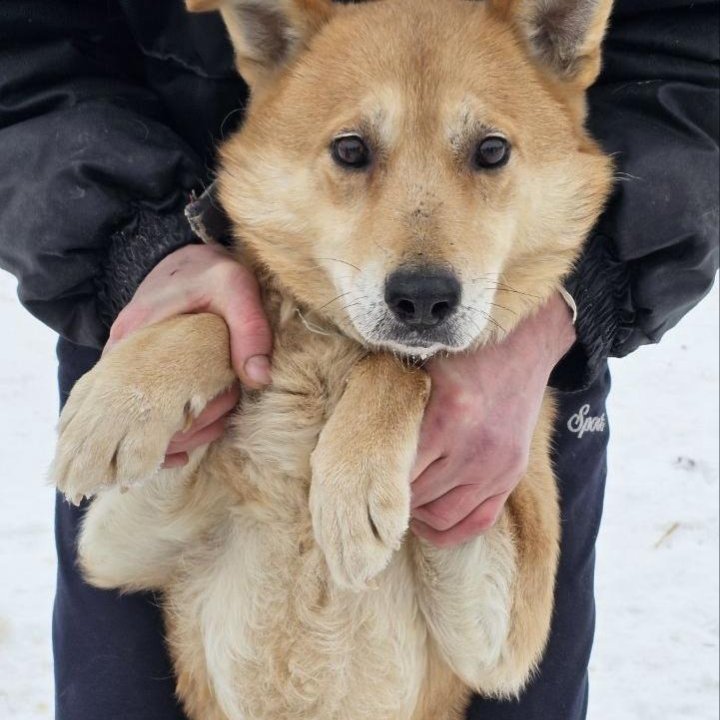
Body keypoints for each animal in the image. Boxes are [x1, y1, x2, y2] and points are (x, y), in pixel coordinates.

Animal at [52, 2, 612, 716]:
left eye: (492, 151)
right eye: (351, 149)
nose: (423, 298)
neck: (323, 366)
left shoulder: (503, 632)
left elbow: (397, 367)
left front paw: (353, 481)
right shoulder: (119, 544)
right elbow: (223, 316)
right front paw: (121, 405)